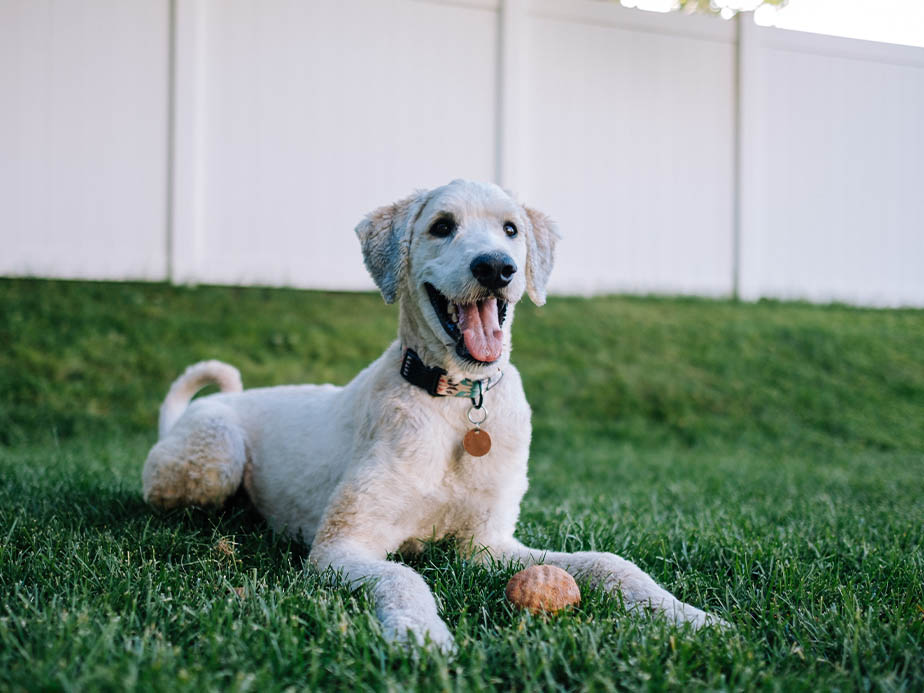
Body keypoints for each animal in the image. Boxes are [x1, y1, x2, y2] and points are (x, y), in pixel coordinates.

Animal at [141, 177, 724, 648]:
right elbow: (405, 576)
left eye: (511, 229)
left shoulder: (488, 545)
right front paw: (420, 635)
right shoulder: (342, 545)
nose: (496, 268)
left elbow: (608, 562)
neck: (455, 402)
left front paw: (689, 615)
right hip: (213, 457)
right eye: (442, 226)